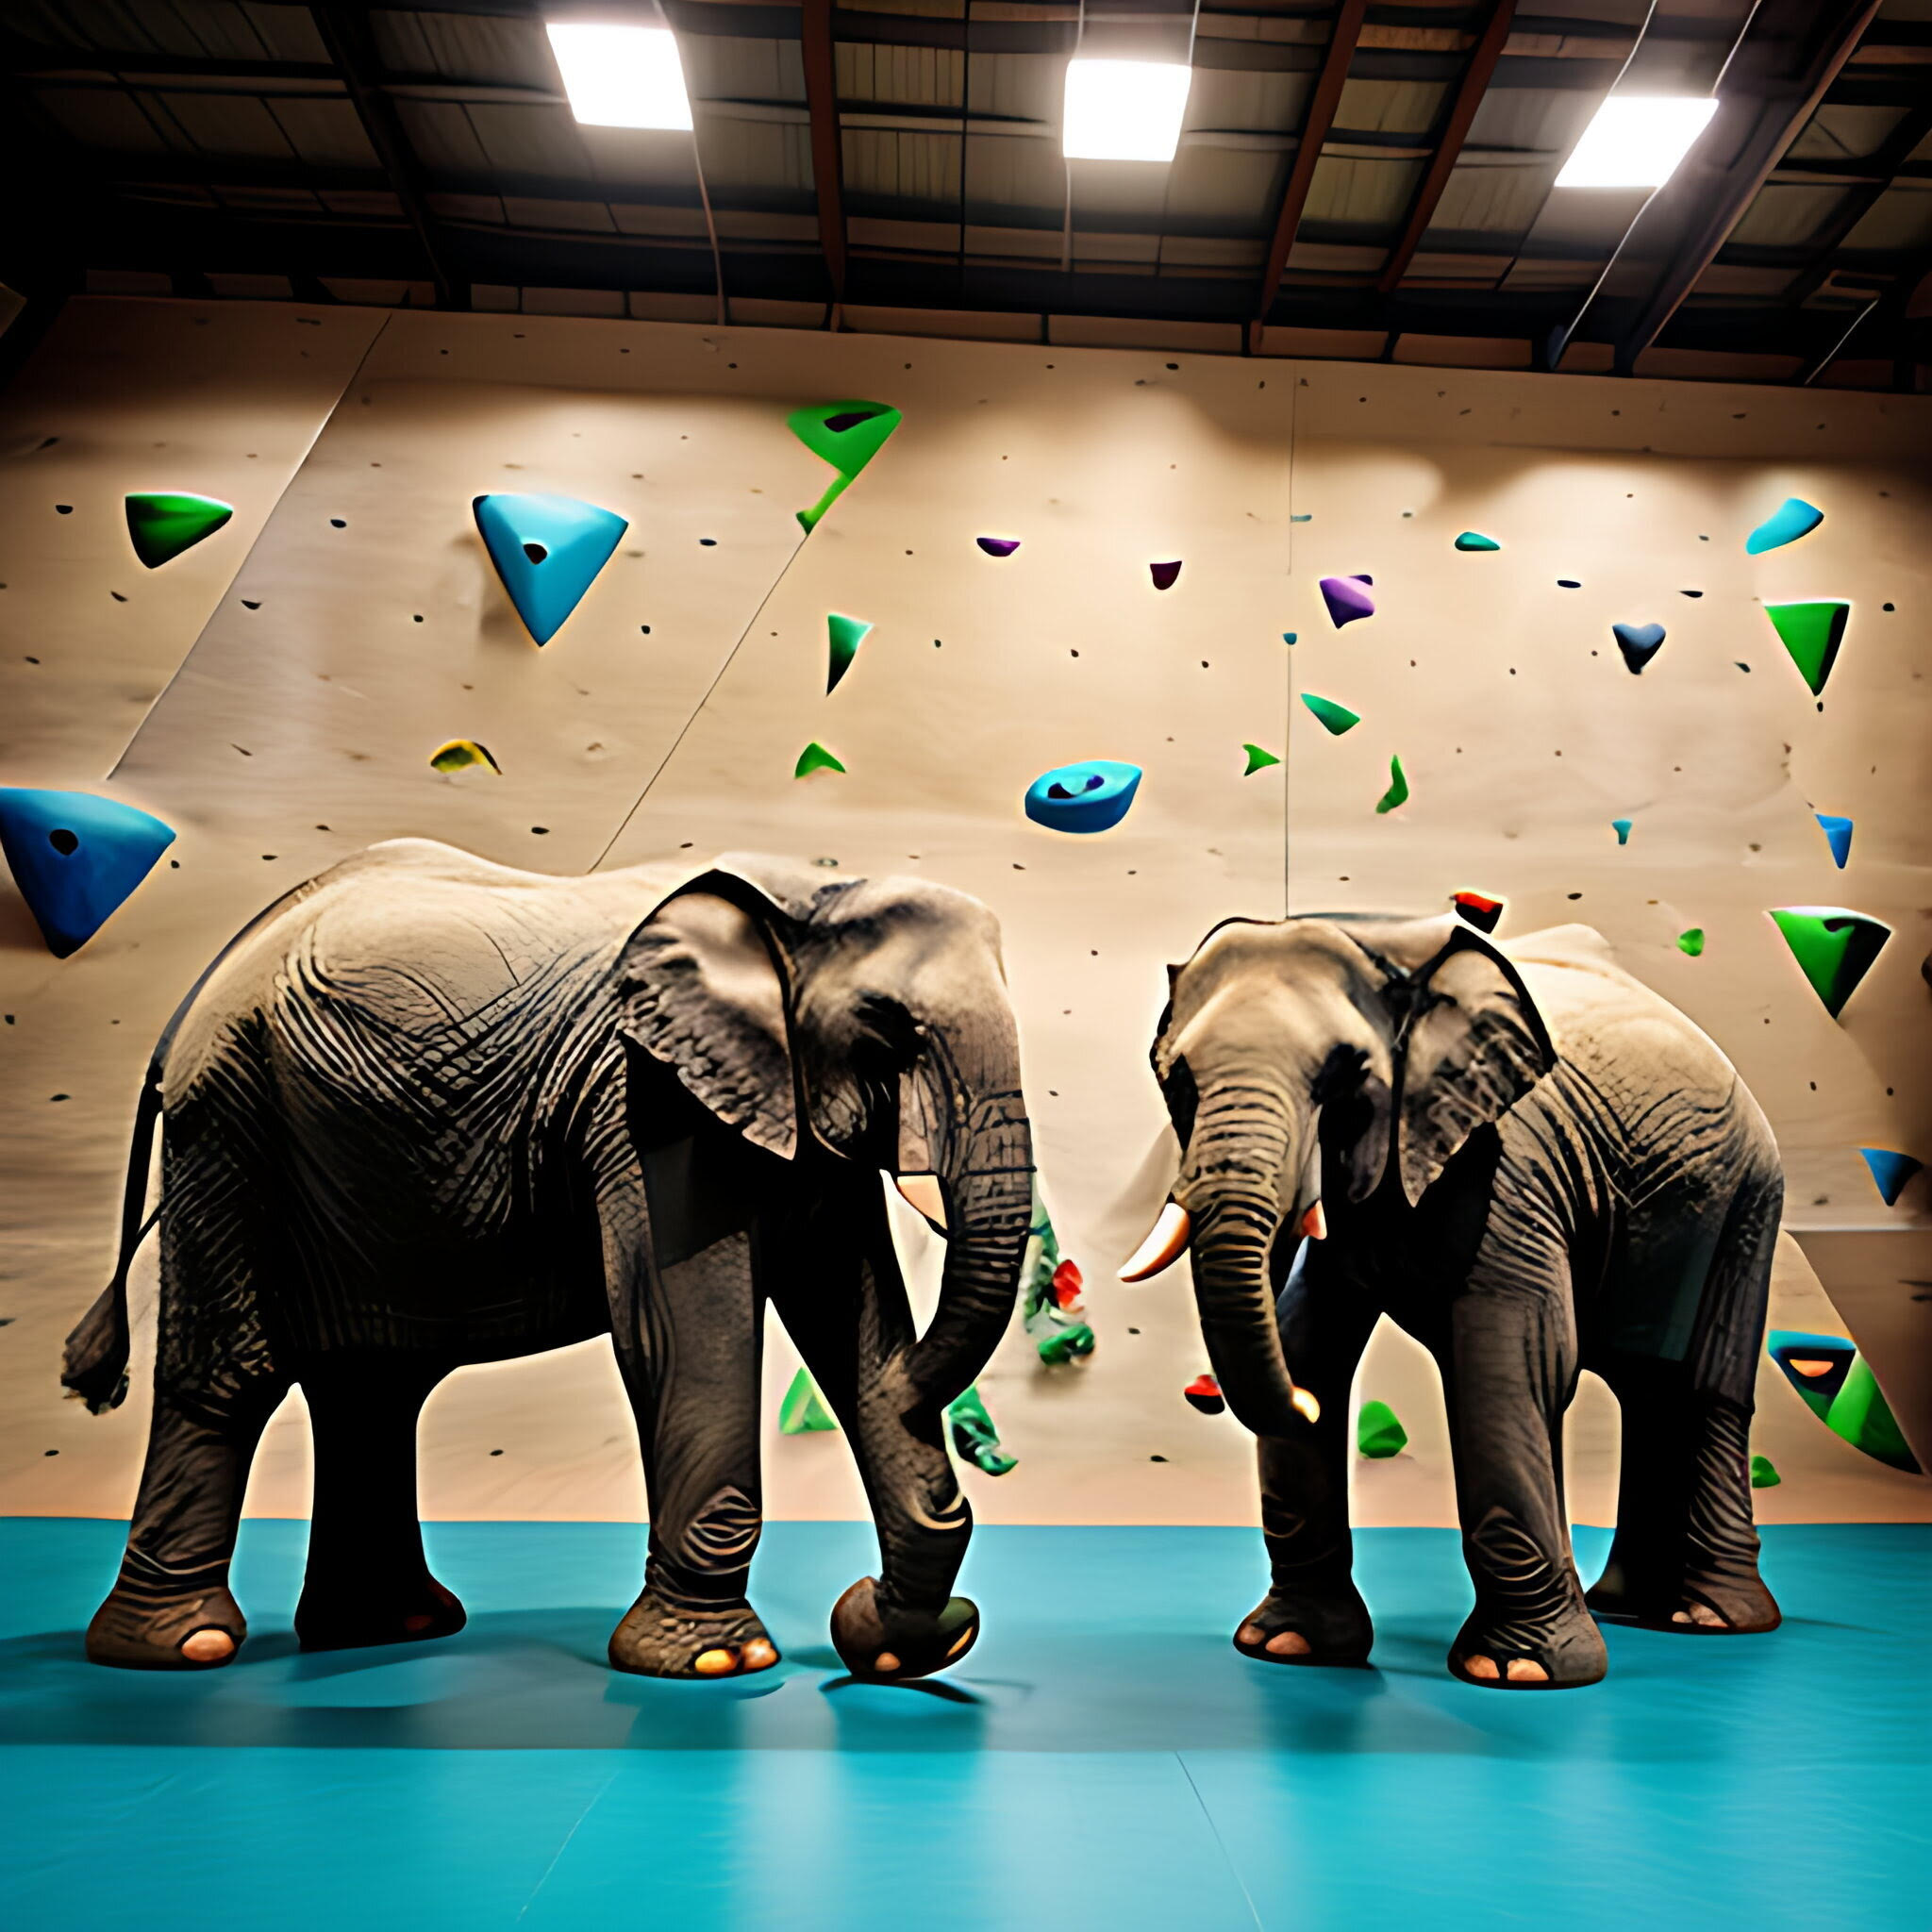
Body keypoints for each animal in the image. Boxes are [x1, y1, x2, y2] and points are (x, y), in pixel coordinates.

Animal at [62, 839, 1033, 1682]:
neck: (805, 891)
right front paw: (717, 1662)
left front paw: (907, 1652)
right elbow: (681, 1335)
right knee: (233, 1375)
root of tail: (192, 1000)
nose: (865, 1610)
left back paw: (387, 1626)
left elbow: (848, 1310)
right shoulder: (646, 1100)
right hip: (231, 1126)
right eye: (889, 1030)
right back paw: (180, 1650)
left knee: (370, 1390)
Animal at [1120, 912, 1783, 1690]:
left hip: (1748, 1201)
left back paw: (1710, 1619)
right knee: (1649, 1392)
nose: (1294, 1404)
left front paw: (1517, 1671)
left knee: (1706, 1394)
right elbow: (1308, 1336)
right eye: (1179, 1080)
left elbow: (1509, 1361)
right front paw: (1290, 1648)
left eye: (1345, 1076)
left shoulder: (1508, 1163)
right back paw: (1627, 1608)